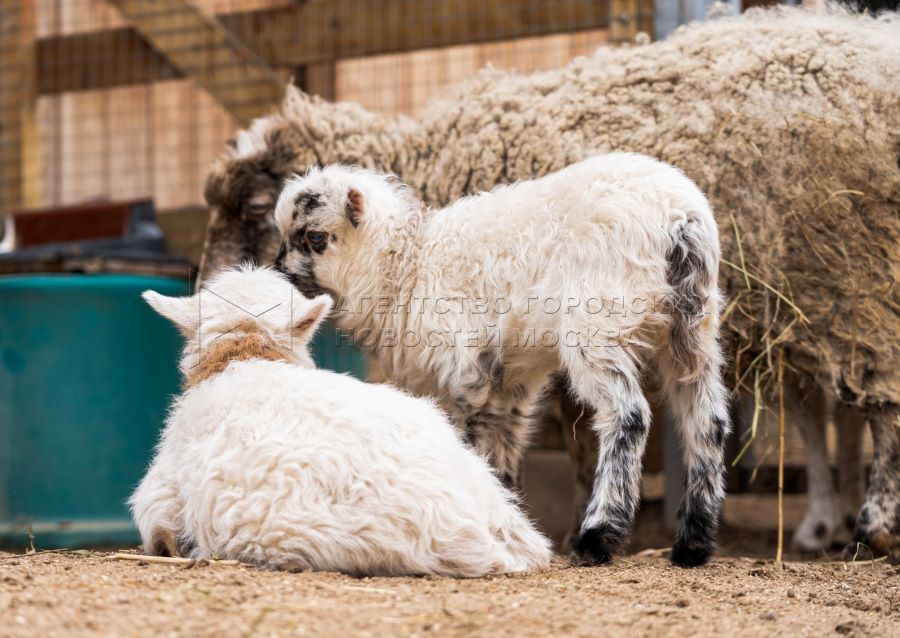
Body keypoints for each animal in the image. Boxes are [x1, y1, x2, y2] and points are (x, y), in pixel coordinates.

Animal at [274, 156, 732, 568]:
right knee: (706, 420)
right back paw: (693, 545)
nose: (279, 274)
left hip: (599, 322)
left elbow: (471, 444)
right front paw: (506, 505)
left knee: (629, 416)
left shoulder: (464, 369)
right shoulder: (511, 379)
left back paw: (598, 536)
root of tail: (679, 218)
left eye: (314, 236)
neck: (406, 264)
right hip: (694, 328)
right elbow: (504, 448)